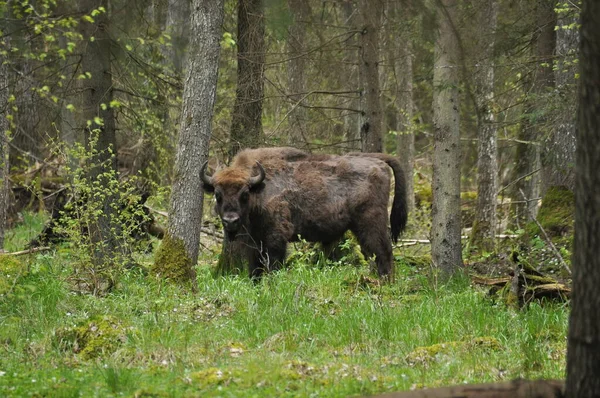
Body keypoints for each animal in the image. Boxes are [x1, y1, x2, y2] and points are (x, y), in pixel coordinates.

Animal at [202, 147, 408, 280]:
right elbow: (255, 268)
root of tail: (377, 162)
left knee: (383, 253)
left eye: (244, 194)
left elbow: (273, 264)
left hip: (371, 222)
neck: (259, 190)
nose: (230, 221)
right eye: (218, 195)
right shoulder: (254, 243)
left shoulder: (276, 237)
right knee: (373, 254)